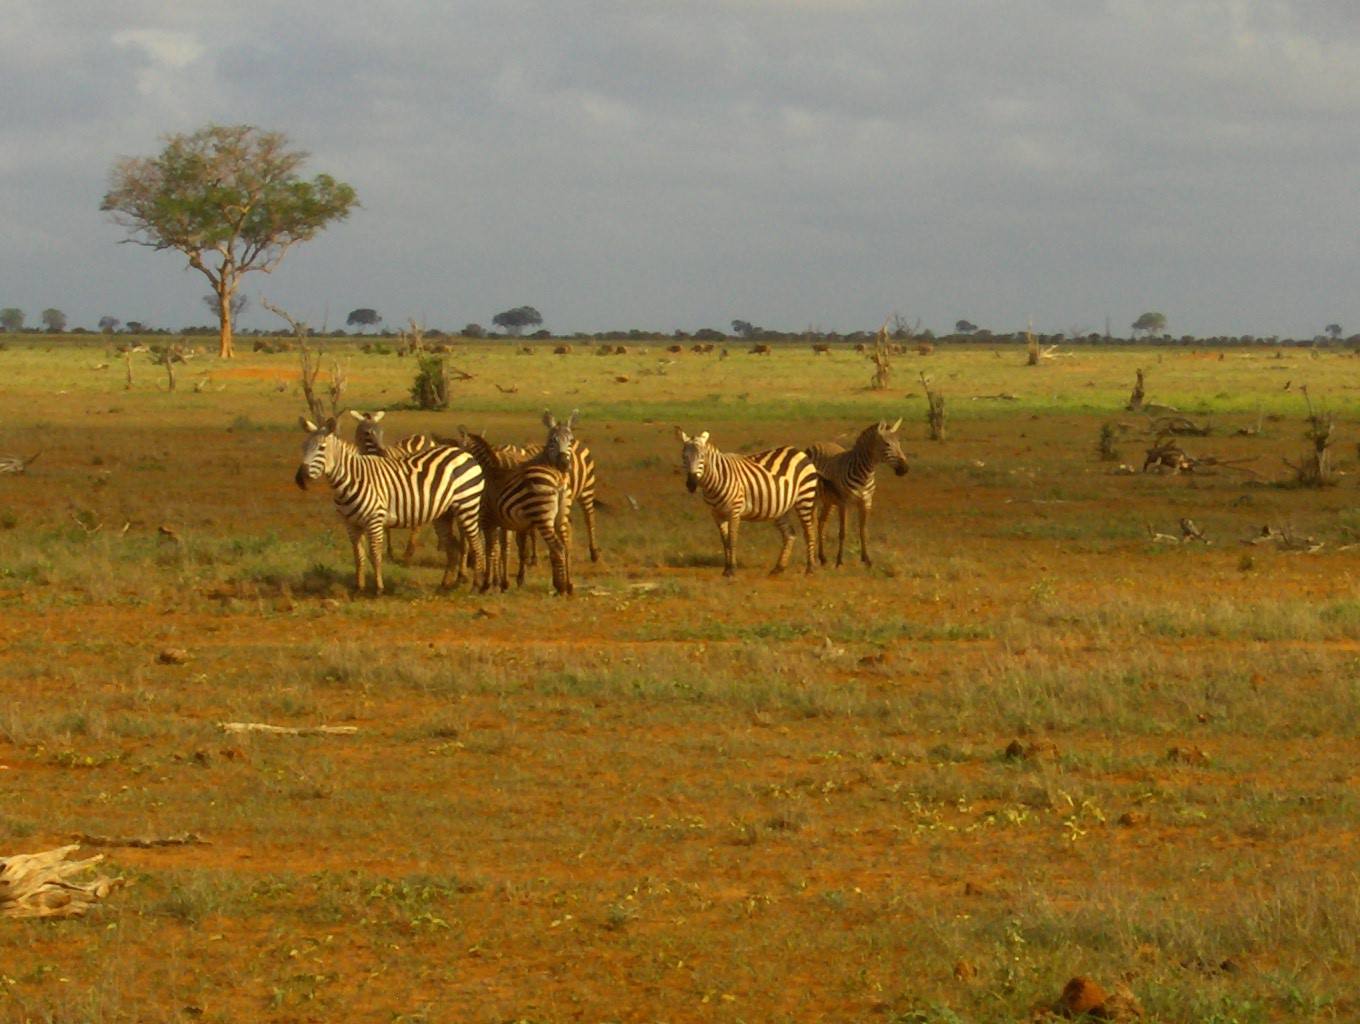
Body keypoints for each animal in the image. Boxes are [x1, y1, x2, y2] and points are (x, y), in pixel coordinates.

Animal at [295, 416, 486, 595]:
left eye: (321, 448)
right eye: (303, 447)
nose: (300, 479)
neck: (351, 480)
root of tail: (461, 452)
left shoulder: (374, 519)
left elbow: (375, 554)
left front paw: (378, 589)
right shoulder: (351, 523)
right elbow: (358, 555)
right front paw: (359, 588)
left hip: (467, 505)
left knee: (476, 544)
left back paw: (476, 586)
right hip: (444, 513)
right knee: (453, 546)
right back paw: (445, 585)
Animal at [460, 411, 576, 595]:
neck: (488, 470)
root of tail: (558, 477)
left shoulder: (487, 519)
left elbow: (491, 550)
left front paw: (487, 585)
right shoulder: (506, 522)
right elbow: (505, 548)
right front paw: (501, 583)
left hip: (543, 516)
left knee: (557, 547)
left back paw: (560, 587)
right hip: (560, 516)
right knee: (566, 545)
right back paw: (567, 585)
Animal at [676, 429, 817, 577]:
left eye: (702, 456)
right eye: (684, 456)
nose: (691, 484)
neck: (714, 481)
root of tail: (797, 451)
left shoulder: (734, 511)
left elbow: (732, 539)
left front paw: (732, 569)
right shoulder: (716, 514)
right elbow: (725, 541)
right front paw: (726, 568)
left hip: (805, 497)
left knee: (809, 532)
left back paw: (810, 569)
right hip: (781, 507)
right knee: (789, 534)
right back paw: (779, 568)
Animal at [805, 419, 908, 568]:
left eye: (899, 443)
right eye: (887, 444)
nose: (905, 469)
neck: (866, 474)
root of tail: (817, 443)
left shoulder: (866, 502)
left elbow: (863, 530)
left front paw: (867, 559)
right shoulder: (844, 503)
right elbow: (842, 532)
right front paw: (839, 561)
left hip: (829, 501)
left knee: (822, 522)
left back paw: (822, 557)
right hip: (814, 497)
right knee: (812, 524)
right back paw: (812, 558)